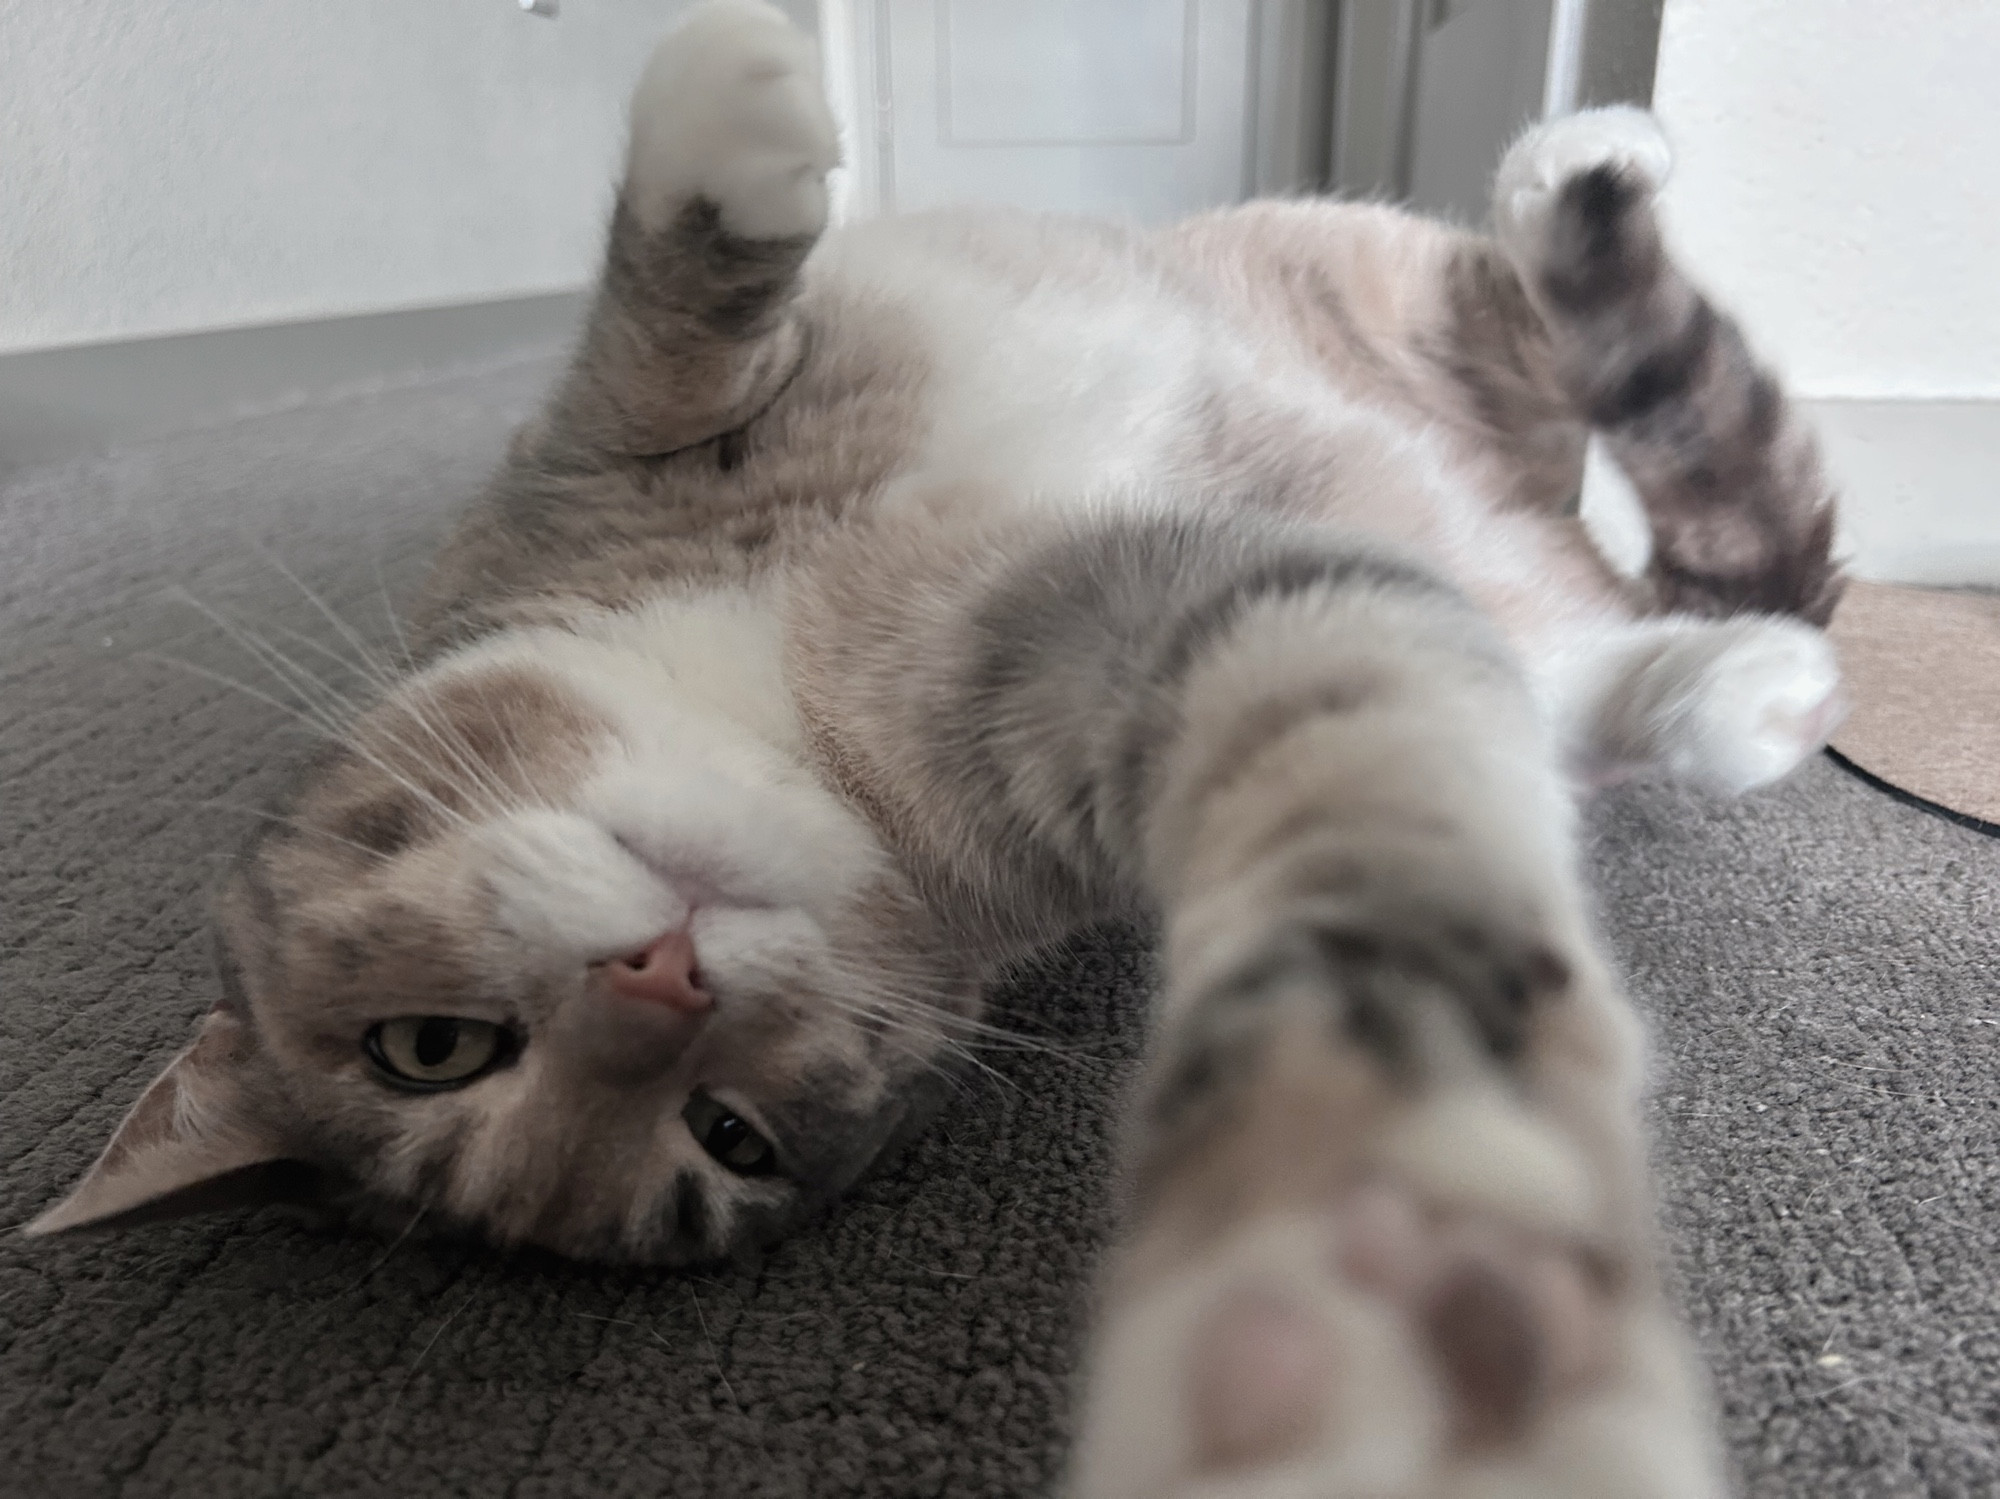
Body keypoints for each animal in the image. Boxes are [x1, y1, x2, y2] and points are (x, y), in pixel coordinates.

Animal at [31, 5, 1840, 1495]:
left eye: (424, 1046)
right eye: (727, 1139)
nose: (656, 982)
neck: (783, 685)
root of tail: (1555, 532)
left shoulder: (589, 468)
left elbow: (666, 345)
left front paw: (728, 102)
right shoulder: (1100, 655)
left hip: (1353, 278)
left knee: (1540, 328)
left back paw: (1586, 180)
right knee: (1599, 632)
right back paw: (1732, 675)